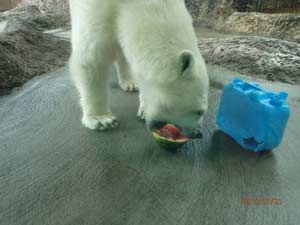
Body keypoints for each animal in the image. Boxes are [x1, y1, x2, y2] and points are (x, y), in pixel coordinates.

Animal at [69, 0, 209, 135]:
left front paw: (144, 109)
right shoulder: (95, 10)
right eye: (199, 111)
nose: (197, 133)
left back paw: (130, 83)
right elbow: (91, 58)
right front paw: (102, 119)